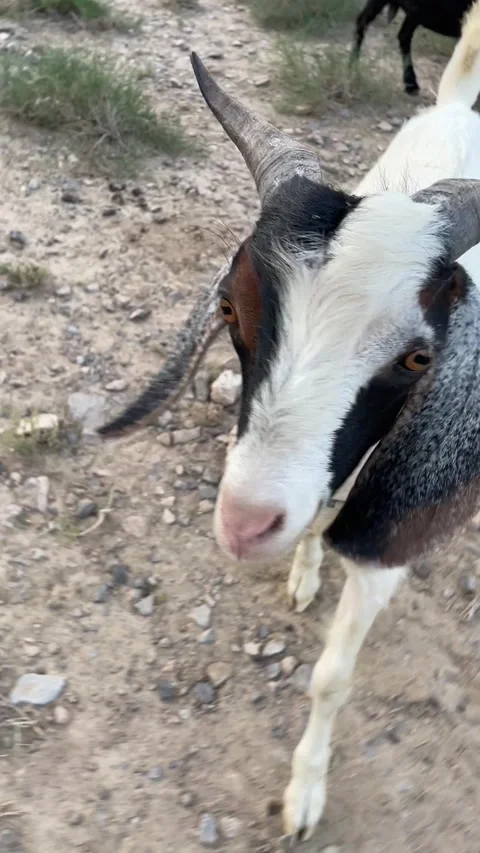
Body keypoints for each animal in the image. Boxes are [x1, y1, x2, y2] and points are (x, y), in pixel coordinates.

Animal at [98, 1, 480, 842]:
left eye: (418, 356)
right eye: (231, 310)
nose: (246, 522)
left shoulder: (387, 538)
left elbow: (333, 677)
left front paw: (304, 792)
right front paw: (302, 569)